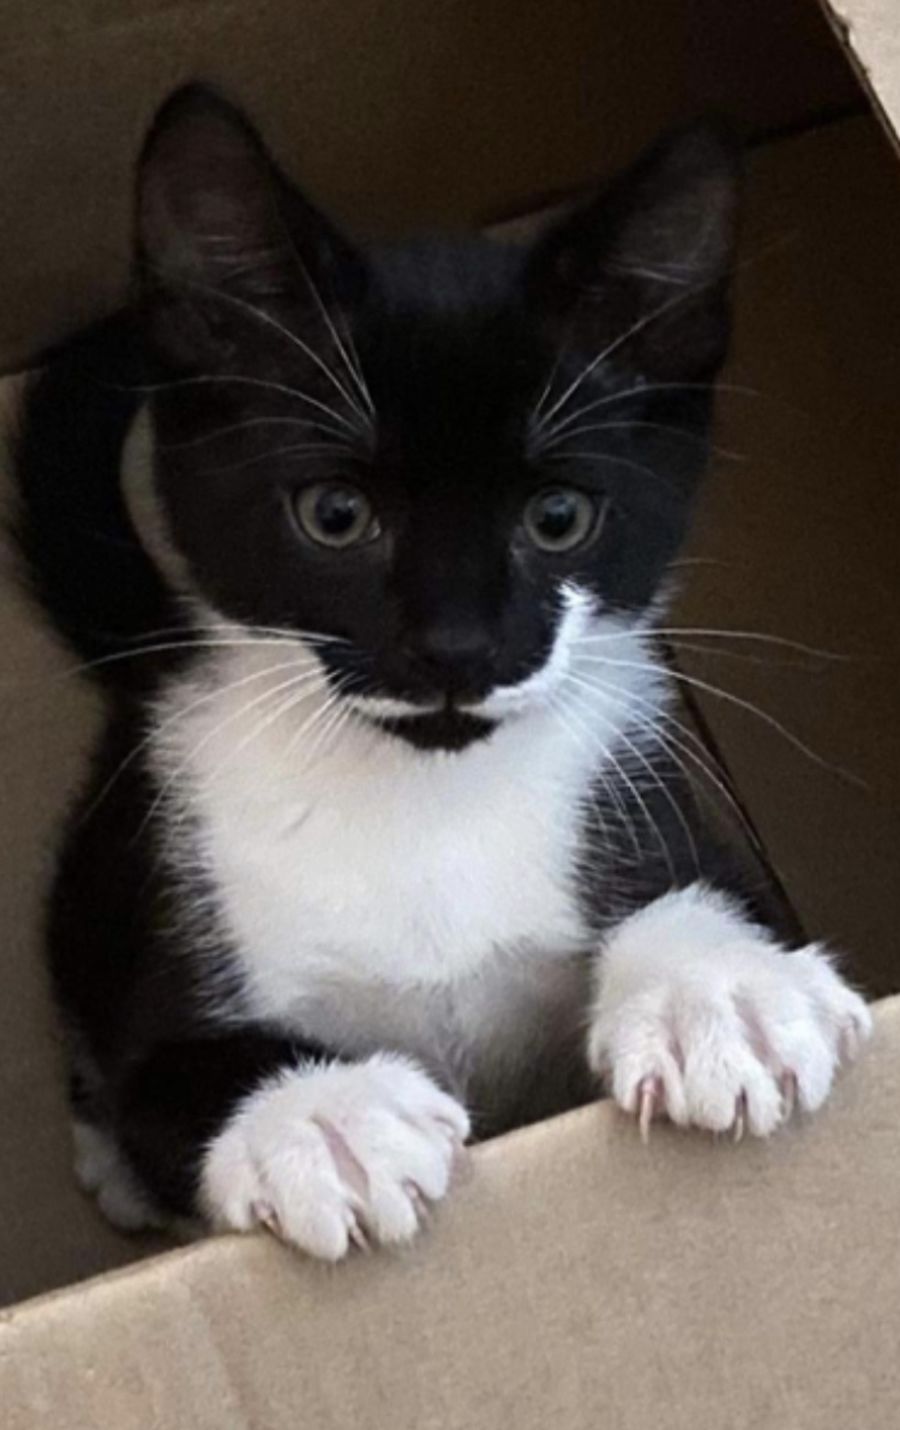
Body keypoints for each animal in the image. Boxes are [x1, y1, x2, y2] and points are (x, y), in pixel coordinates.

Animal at [13, 85, 870, 1259]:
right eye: (335, 514)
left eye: (559, 517)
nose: (457, 645)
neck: (426, 796)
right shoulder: (178, 917)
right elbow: (171, 1076)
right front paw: (321, 1114)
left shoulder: (660, 805)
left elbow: (711, 896)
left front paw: (719, 987)